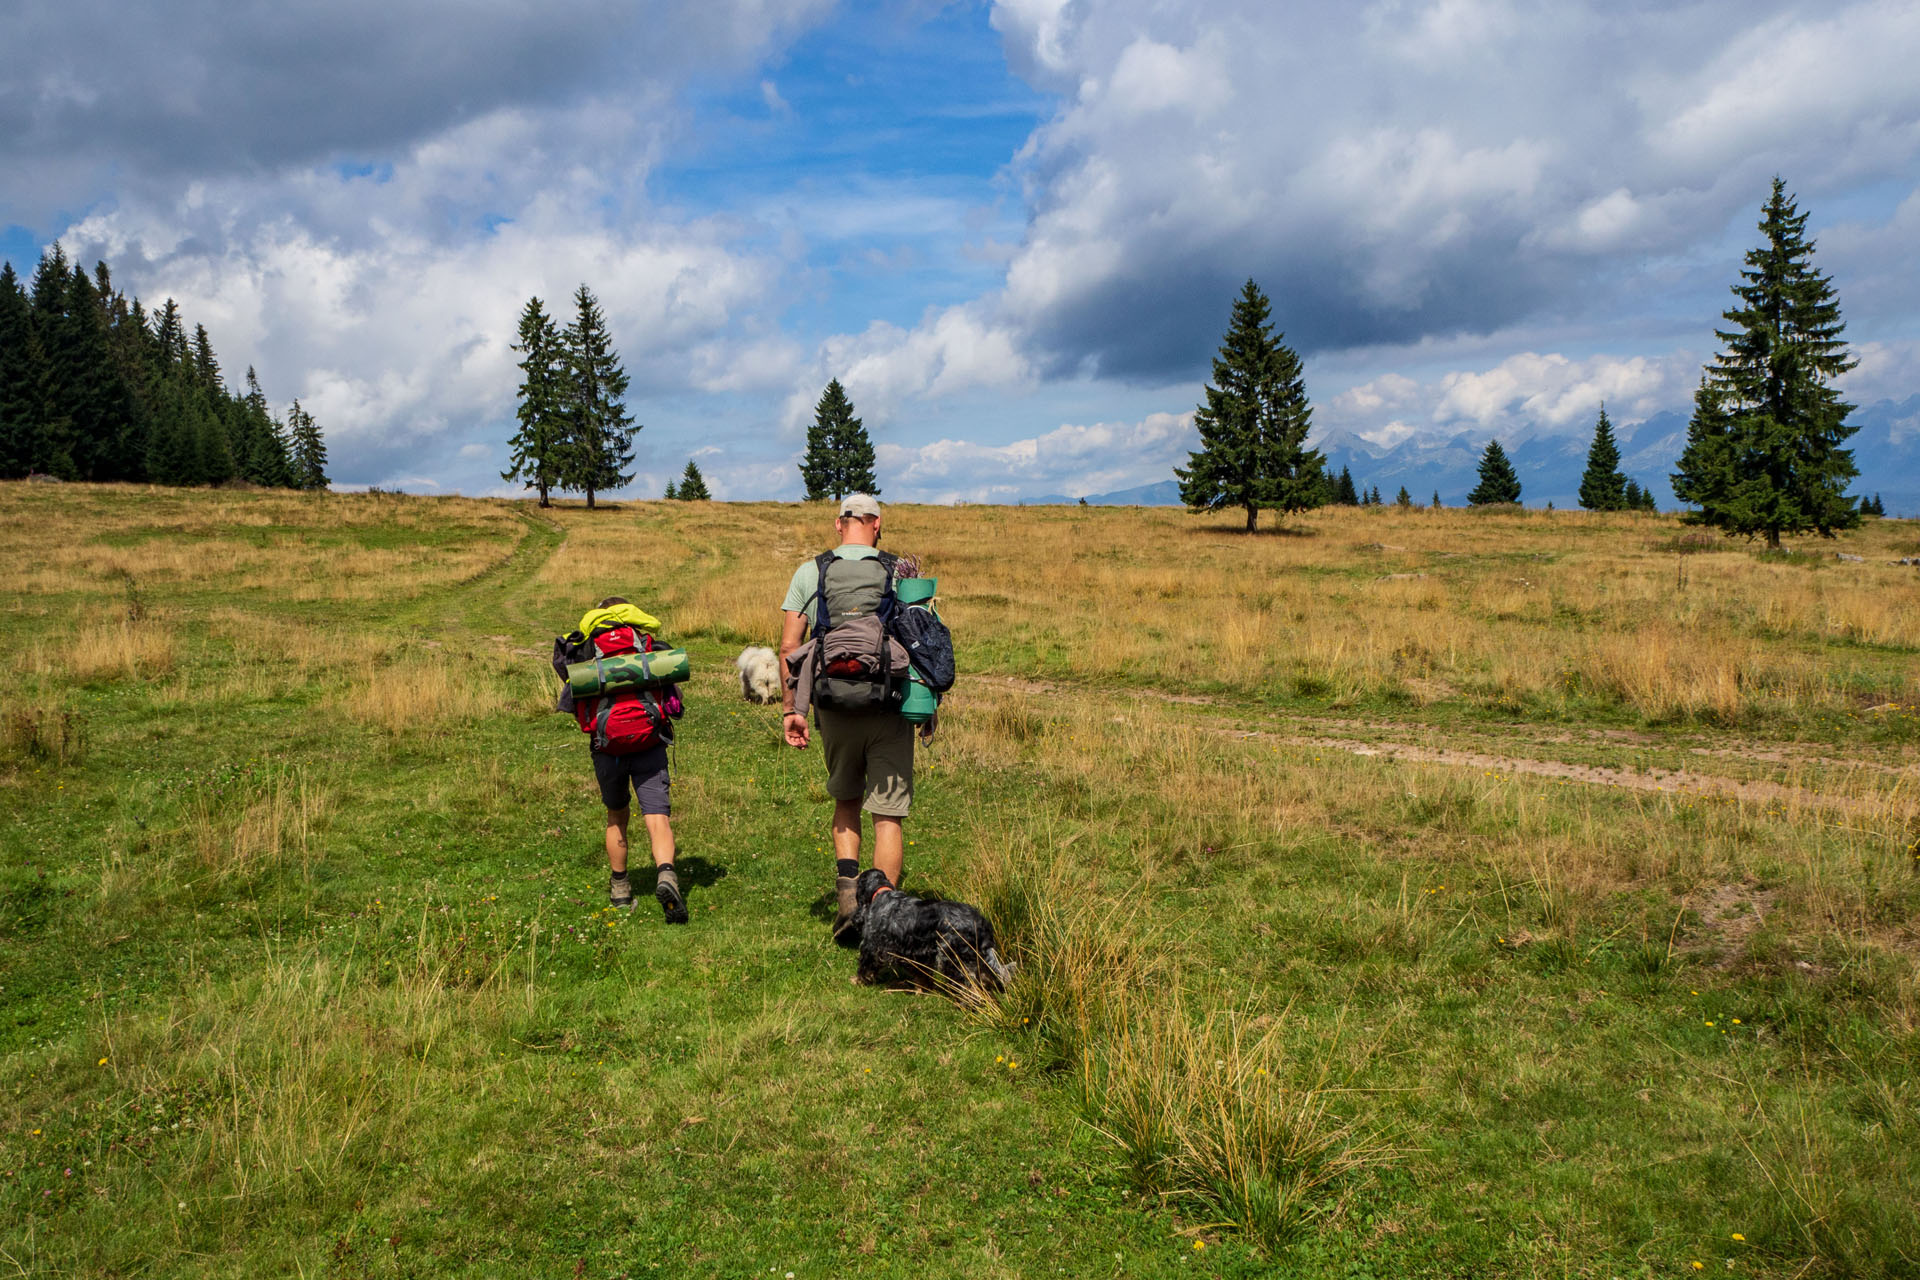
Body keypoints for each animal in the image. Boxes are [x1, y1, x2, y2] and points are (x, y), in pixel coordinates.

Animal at [848, 867, 1013, 997]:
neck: (882, 893)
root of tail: (981, 924)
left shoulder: (871, 946)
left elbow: (865, 967)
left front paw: (857, 981)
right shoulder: (918, 954)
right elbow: (922, 976)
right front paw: (922, 990)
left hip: (953, 960)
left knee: (969, 988)